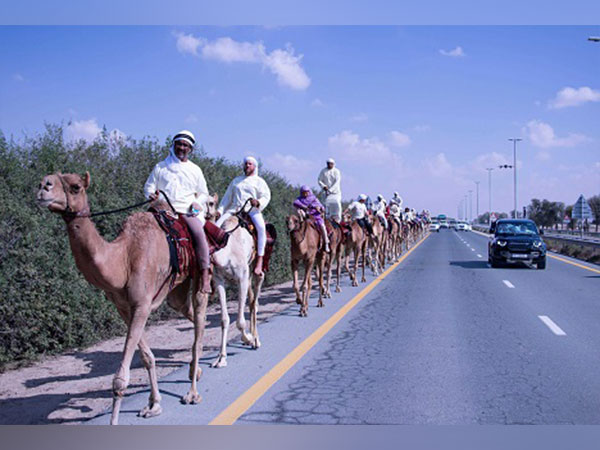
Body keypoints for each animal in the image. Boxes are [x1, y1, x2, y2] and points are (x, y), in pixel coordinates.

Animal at [35, 171, 209, 424]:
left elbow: (120, 379)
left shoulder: (142, 304)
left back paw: (193, 392)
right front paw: (153, 405)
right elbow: (146, 357)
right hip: (176, 288)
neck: (122, 260)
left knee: (199, 318)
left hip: (200, 273)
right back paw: (196, 370)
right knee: (190, 313)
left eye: (76, 186)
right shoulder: (124, 307)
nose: (43, 186)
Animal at [203, 194, 264, 370]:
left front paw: (248, 339)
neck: (227, 252)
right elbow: (225, 320)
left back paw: (256, 340)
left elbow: (240, 322)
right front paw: (221, 359)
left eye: (210, 202)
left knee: (254, 302)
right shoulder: (219, 281)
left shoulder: (241, 278)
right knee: (252, 301)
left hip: (254, 270)